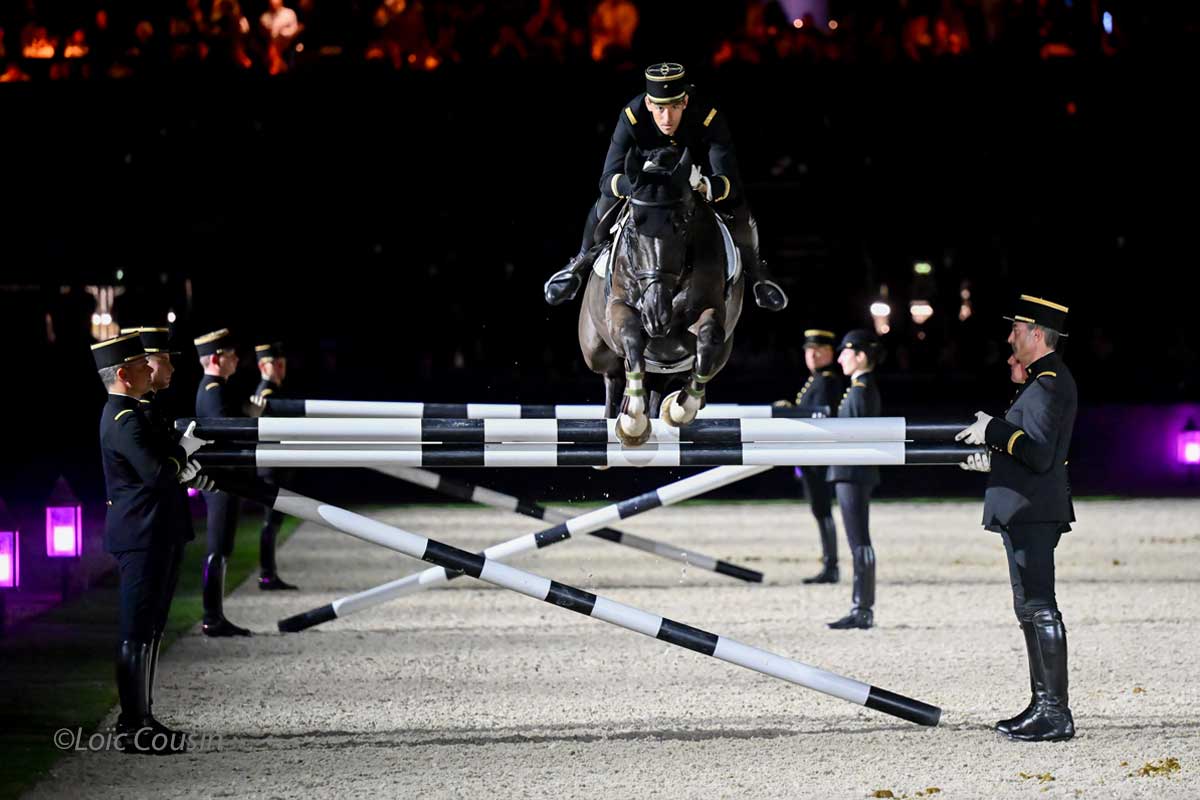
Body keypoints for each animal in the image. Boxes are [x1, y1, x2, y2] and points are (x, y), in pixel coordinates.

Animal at [578, 146, 744, 446]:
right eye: (632, 227)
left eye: (682, 223)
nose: (657, 315)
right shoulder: (619, 308)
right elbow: (631, 338)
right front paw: (632, 419)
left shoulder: (709, 312)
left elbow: (707, 339)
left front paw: (681, 408)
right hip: (595, 350)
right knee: (613, 376)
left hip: (707, 356)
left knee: (664, 381)